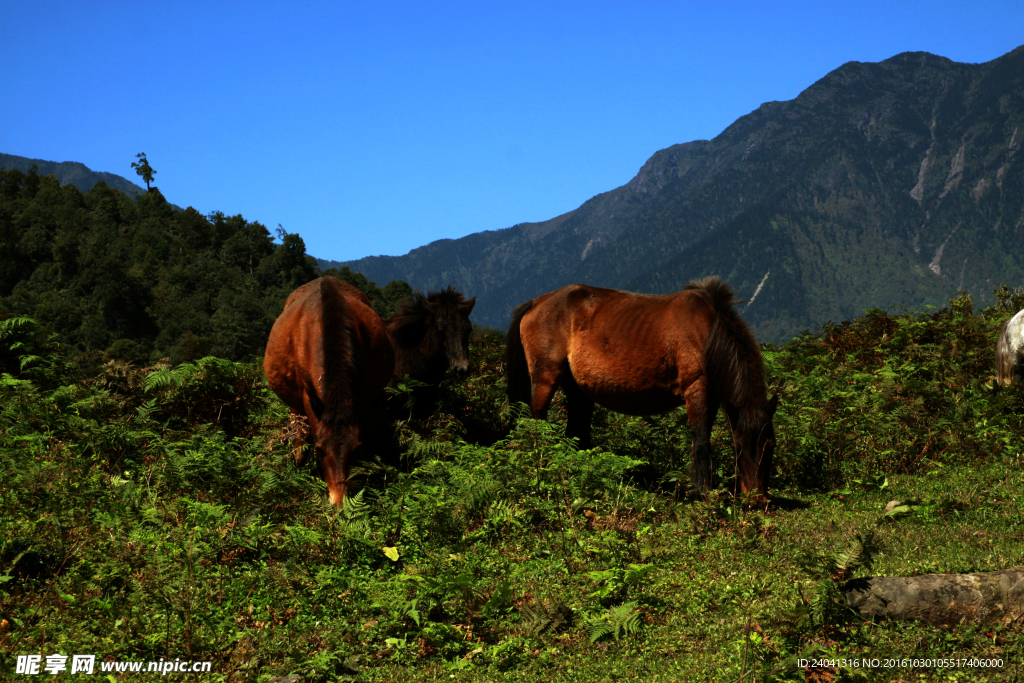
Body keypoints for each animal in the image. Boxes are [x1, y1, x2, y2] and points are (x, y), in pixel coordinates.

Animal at [507, 278, 778, 501]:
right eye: (740, 447)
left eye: (771, 445)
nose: (757, 500)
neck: (708, 332)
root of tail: (536, 303)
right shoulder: (697, 389)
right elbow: (701, 442)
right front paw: (703, 493)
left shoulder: (711, 396)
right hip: (545, 379)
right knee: (537, 423)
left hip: (578, 392)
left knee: (576, 432)